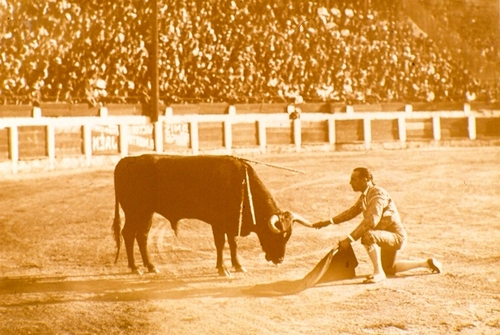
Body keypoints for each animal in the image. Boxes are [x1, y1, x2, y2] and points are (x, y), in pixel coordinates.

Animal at [113, 154, 308, 276]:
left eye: (287, 238)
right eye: (275, 236)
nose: (280, 259)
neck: (240, 183)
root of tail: (126, 161)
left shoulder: (232, 223)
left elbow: (233, 243)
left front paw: (238, 266)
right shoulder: (218, 223)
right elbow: (221, 244)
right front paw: (223, 269)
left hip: (146, 213)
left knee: (142, 236)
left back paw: (150, 266)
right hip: (135, 211)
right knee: (129, 234)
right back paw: (135, 267)